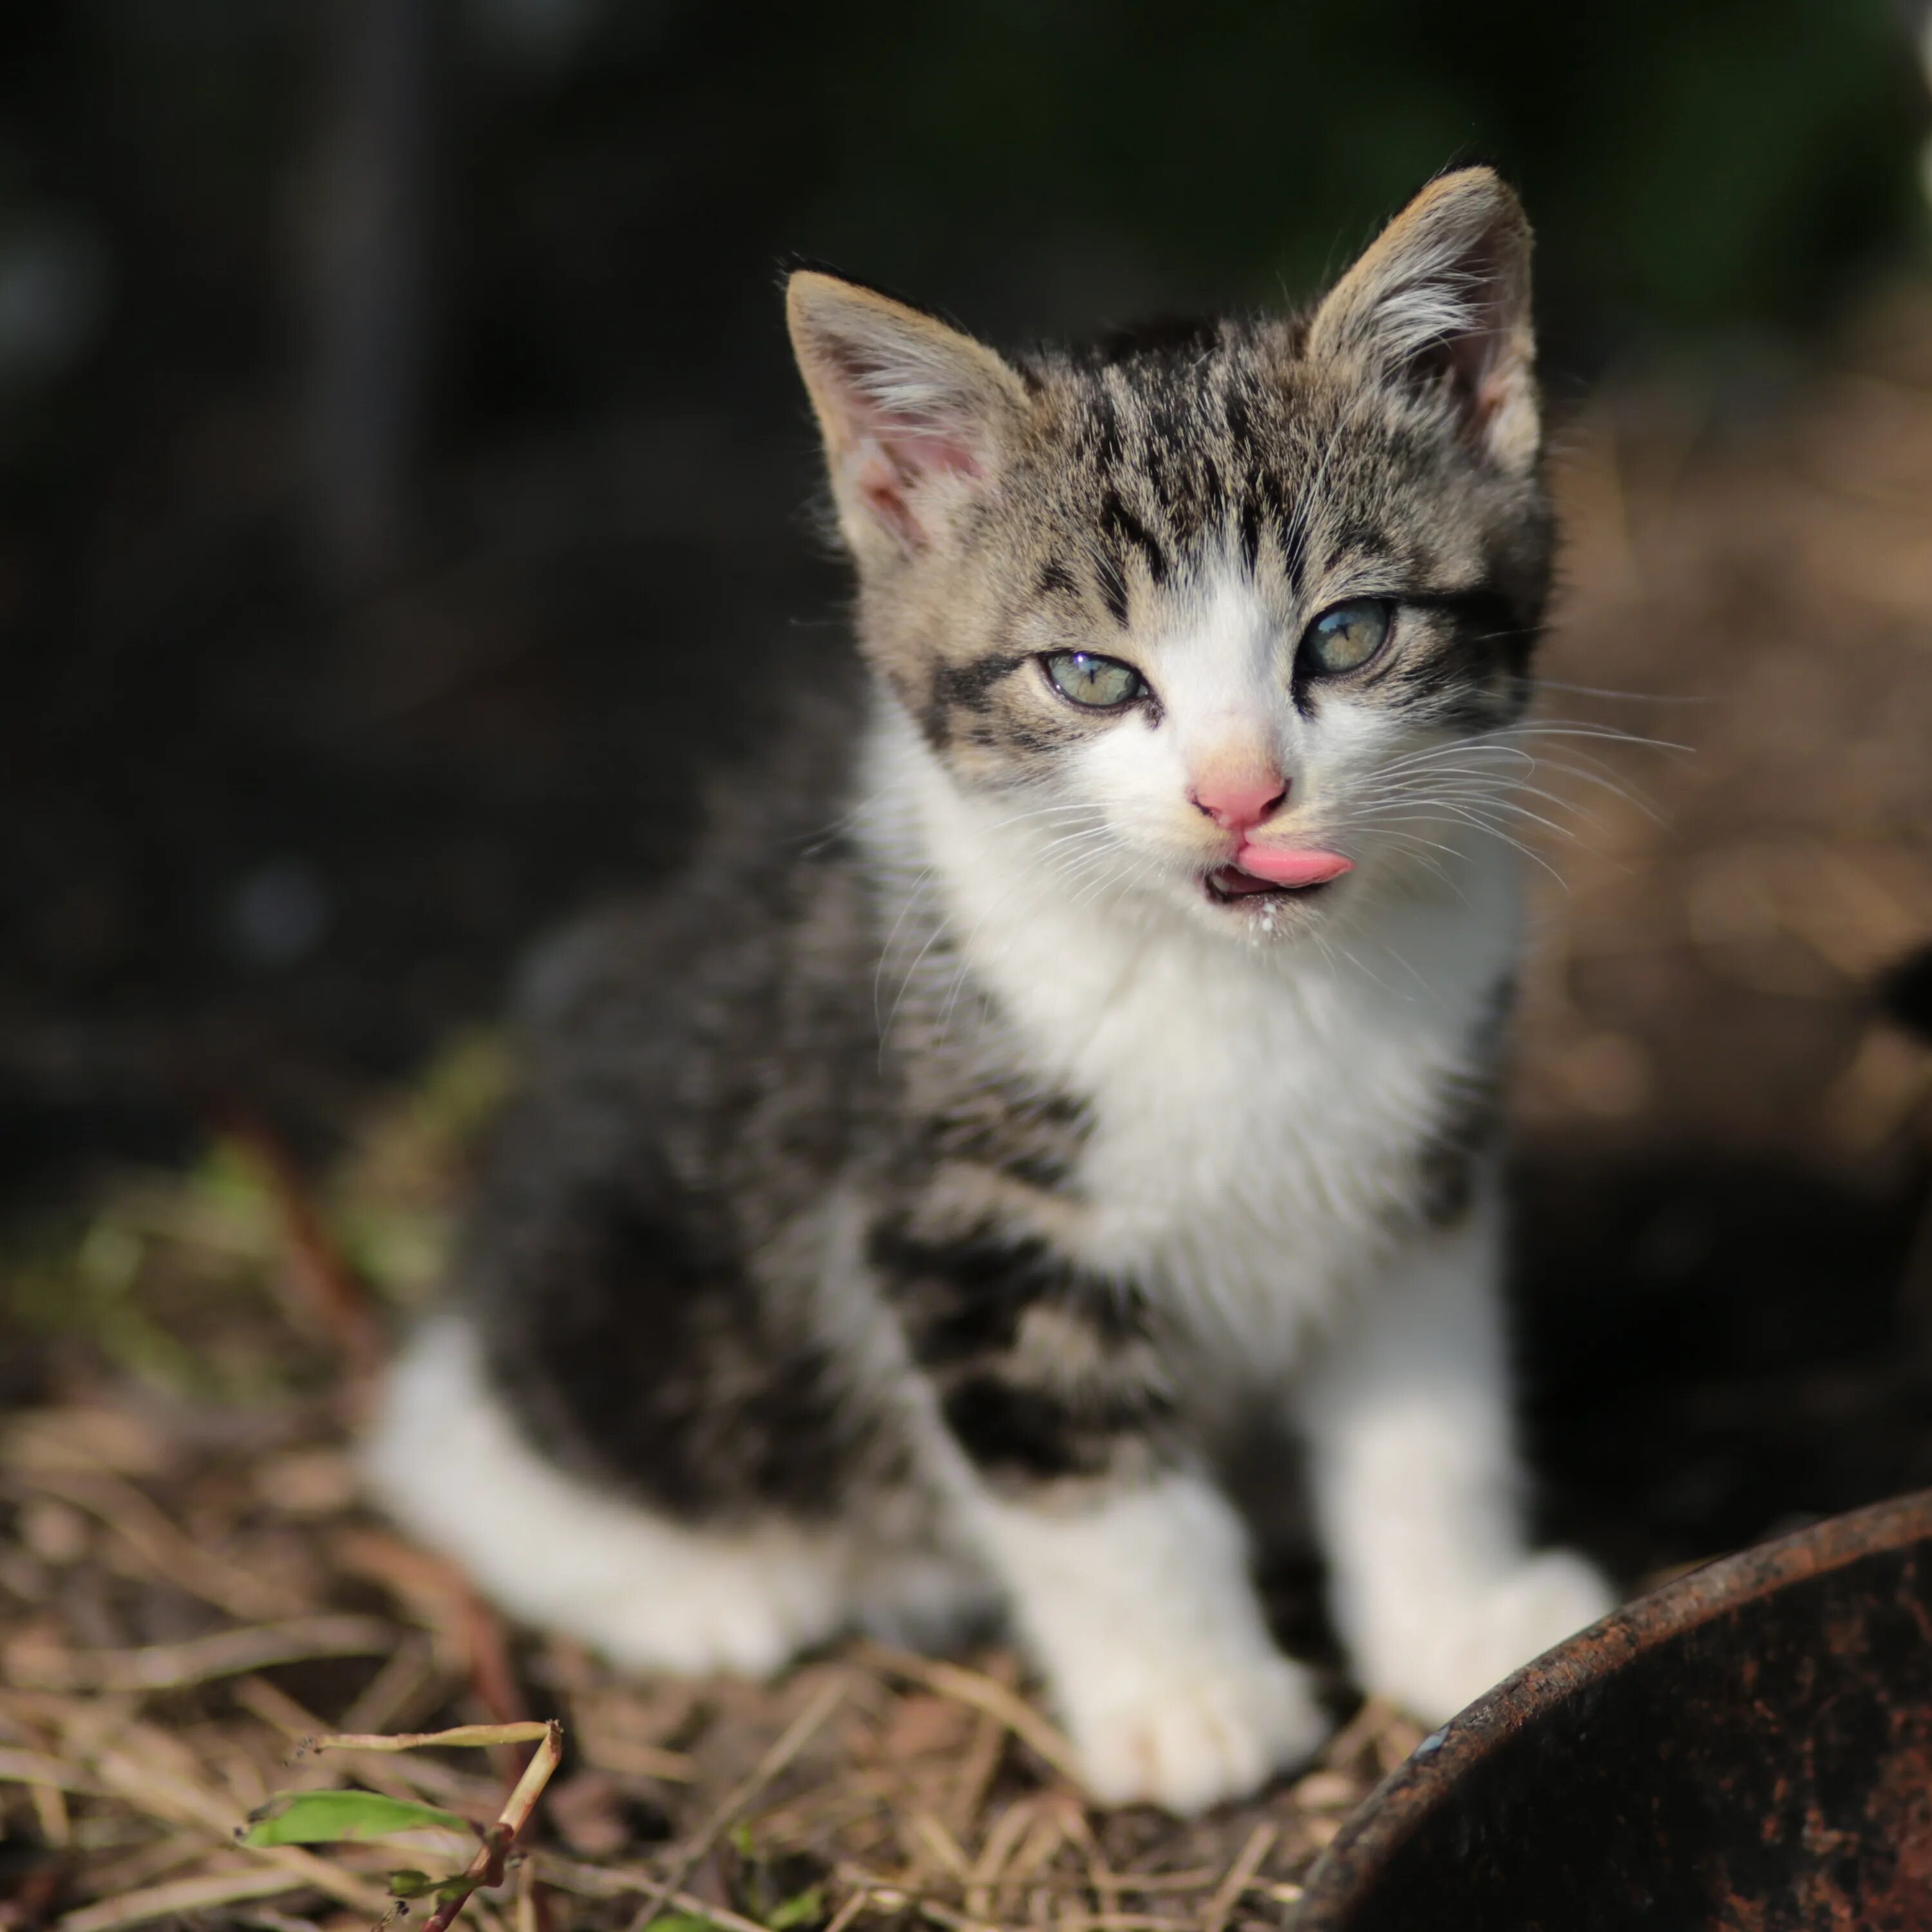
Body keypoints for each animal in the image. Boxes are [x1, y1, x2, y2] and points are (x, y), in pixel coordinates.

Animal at [363, 166, 1615, 1808]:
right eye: (1091, 676)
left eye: (1345, 635)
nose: (1240, 793)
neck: (1245, 988)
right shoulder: (960, 1220)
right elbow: (1093, 1487)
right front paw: (1192, 1700)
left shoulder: (1422, 1182)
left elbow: (1429, 1422)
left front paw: (1458, 1621)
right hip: (638, 1312)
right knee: (441, 1442)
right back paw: (696, 1585)